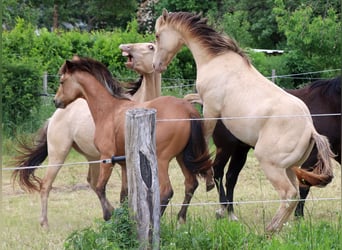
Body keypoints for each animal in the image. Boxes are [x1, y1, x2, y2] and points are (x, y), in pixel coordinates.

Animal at [152, 9, 334, 232]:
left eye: (157, 36)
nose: (156, 65)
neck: (216, 60)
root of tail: (310, 129)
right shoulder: (205, 102)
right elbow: (188, 98)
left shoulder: (211, 108)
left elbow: (205, 136)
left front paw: (208, 180)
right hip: (289, 168)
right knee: (295, 193)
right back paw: (275, 229)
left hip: (270, 165)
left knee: (289, 195)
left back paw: (268, 229)